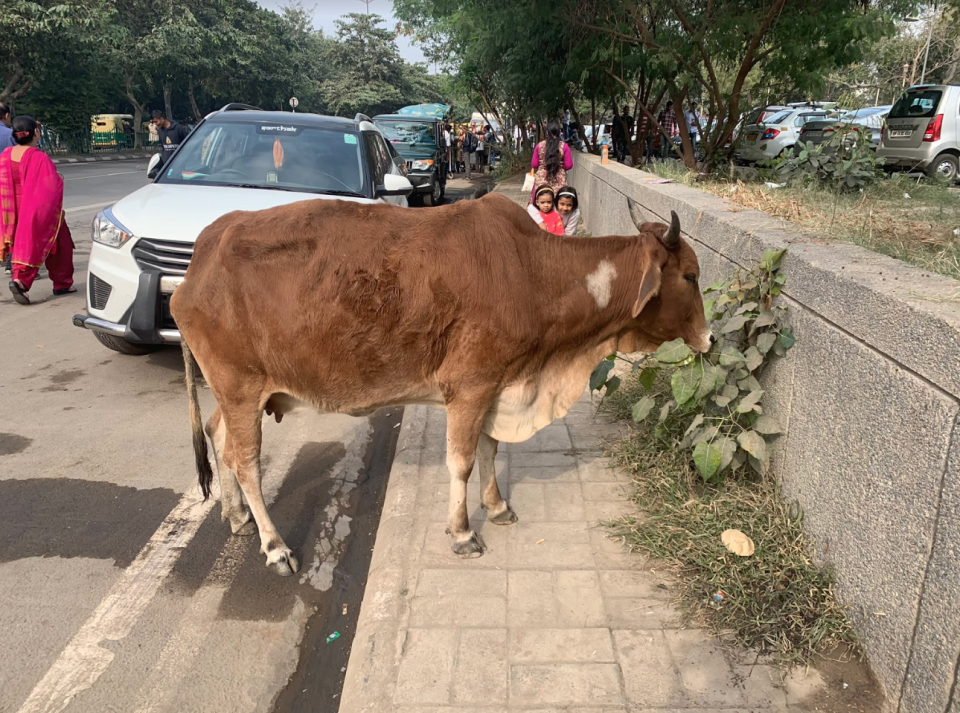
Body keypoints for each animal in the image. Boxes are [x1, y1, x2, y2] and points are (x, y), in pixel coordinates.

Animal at [172, 192, 712, 576]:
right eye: (690, 275)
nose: (708, 338)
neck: (532, 272)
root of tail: (201, 256)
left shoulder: (499, 383)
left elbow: (491, 449)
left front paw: (497, 506)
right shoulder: (469, 387)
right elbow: (462, 461)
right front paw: (463, 533)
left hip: (238, 393)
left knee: (219, 437)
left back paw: (236, 516)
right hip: (241, 387)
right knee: (246, 463)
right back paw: (274, 547)